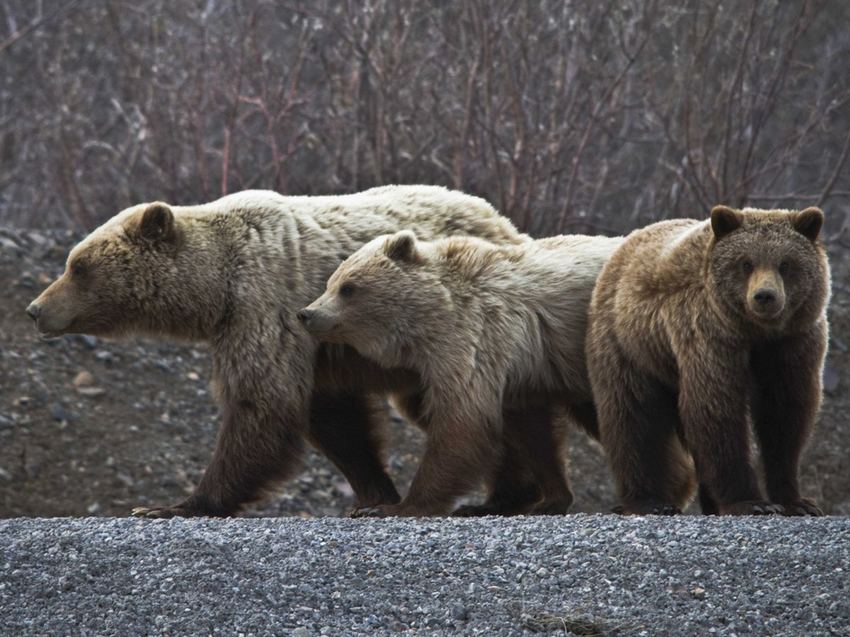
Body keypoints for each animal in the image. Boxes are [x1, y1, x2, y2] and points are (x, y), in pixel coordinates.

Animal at [26, 184, 524, 516]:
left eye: (78, 266)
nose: (35, 309)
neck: (217, 290)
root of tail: (506, 222)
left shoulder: (267, 305)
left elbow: (263, 404)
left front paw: (174, 505)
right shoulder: (315, 349)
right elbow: (334, 421)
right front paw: (373, 493)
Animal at [300, 231, 624, 516]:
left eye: (348, 287)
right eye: (330, 282)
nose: (306, 313)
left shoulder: (476, 339)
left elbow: (462, 423)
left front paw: (394, 507)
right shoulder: (521, 375)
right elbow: (532, 433)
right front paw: (548, 499)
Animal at [588, 206, 824, 516]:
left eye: (785, 263)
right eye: (746, 263)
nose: (765, 296)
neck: (754, 331)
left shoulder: (791, 343)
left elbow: (784, 413)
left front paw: (797, 501)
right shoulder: (708, 335)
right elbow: (716, 410)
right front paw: (751, 502)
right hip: (630, 346)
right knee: (633, 419)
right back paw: (649, 500)